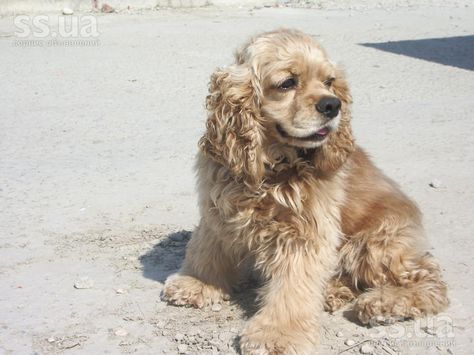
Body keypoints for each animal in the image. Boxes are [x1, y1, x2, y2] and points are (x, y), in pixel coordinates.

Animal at [163, 29, 448, 354]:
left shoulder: (304, 235)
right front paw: (197, 282)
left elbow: (293, 287)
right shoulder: (218, 207)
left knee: (431, 280)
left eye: (329, 81)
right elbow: (206, 248)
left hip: (375, 244)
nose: (332, 105)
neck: (271, 166)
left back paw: (382, 303)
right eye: (287, 83)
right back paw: (334, 292)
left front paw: (277, 336)